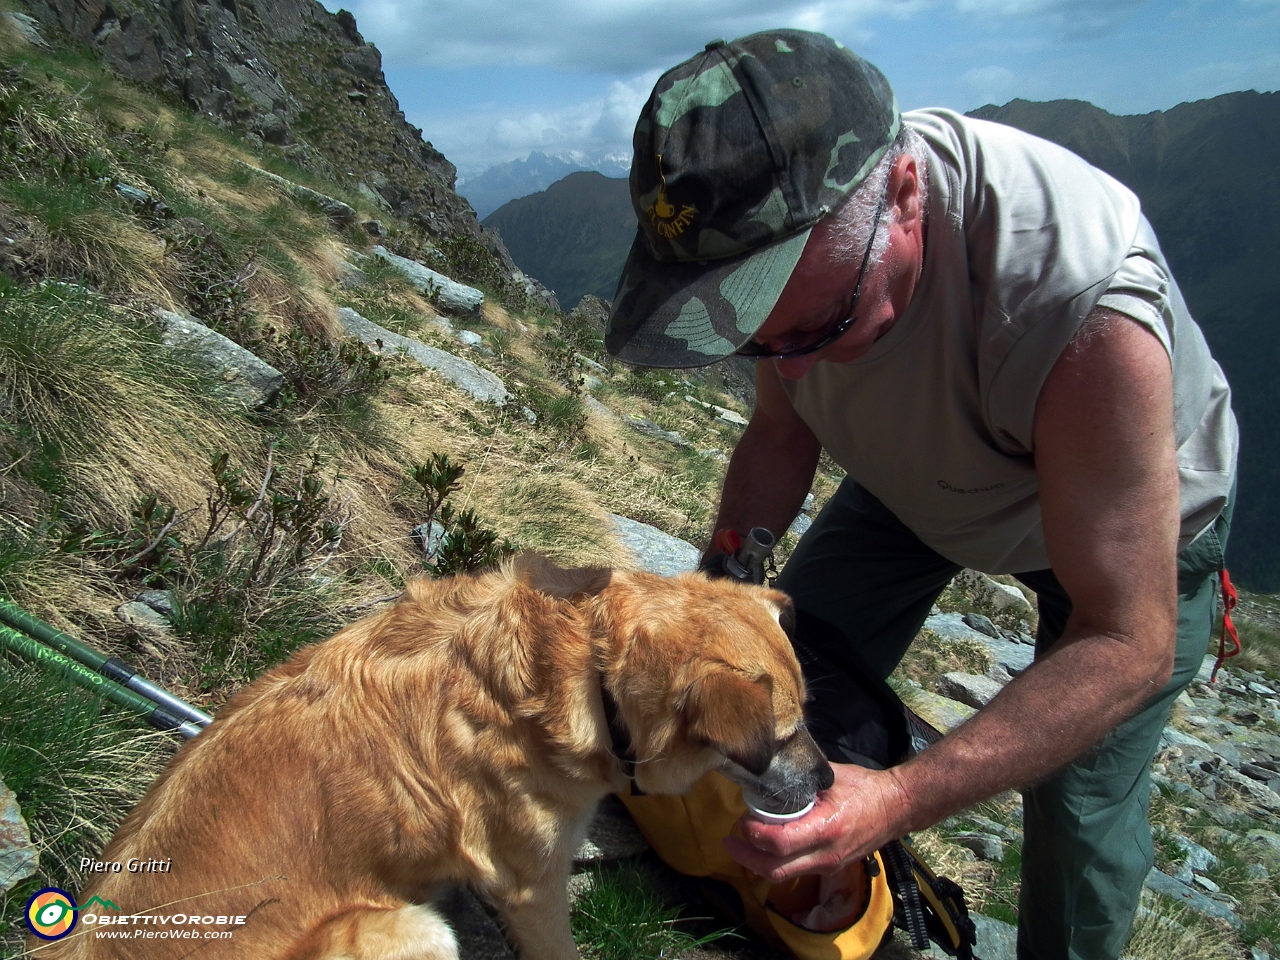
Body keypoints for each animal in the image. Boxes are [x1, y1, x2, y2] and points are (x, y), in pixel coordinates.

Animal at [37, 555, 829, 960]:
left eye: (810, 717)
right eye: (780, 736)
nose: (827, 778)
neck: (583, 662)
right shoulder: (533, 885)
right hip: (405, 929)